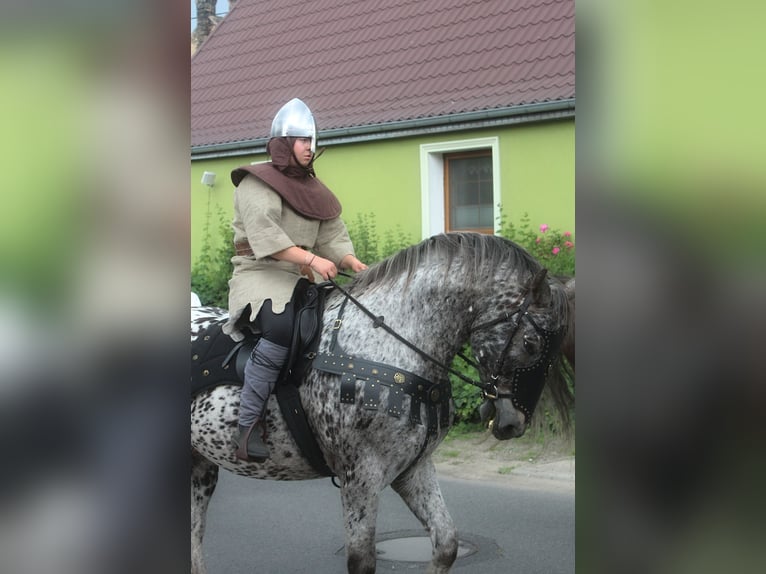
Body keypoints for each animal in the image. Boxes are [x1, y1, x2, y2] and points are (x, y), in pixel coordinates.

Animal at [191, 232, 574, 574]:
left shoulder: (414, 469)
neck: (385, 345)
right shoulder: (360, 477)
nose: (513, 424)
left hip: (201, 468)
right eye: (530, 344)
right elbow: (362, 561)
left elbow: (447, 544)